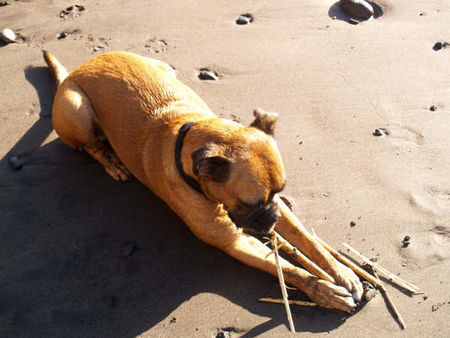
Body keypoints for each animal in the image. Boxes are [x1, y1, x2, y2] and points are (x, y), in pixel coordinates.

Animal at [44, 50, 364, 312]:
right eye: (248, 204)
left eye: (279, 193)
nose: (272, 220)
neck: (189, 132)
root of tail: (76, 70)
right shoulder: (234, 241)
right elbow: (287, 270)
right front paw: (323, 290)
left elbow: (308, 240)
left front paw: (342, 272)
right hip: (78, 111)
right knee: (90, 145)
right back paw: (111, 161)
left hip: (162, 67)